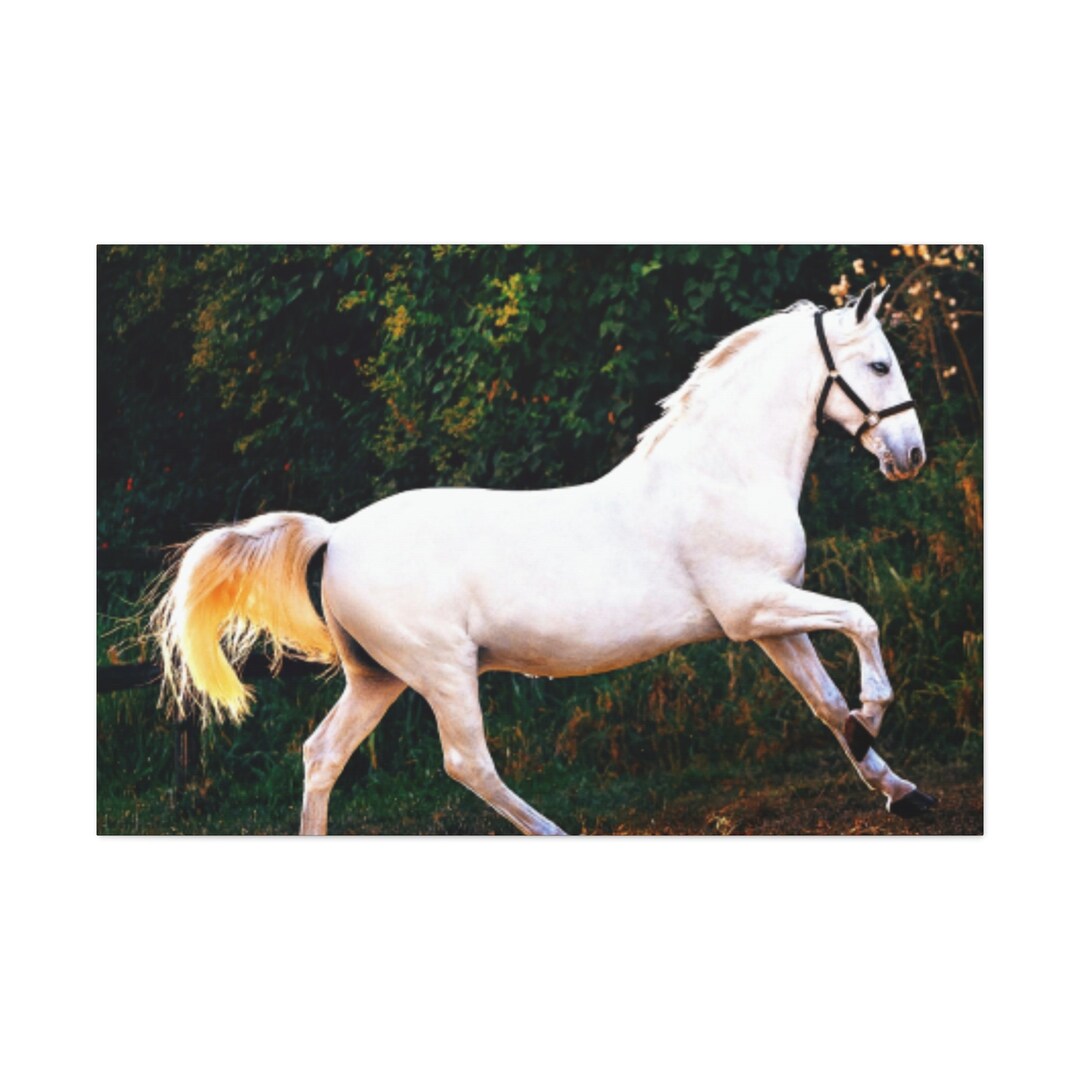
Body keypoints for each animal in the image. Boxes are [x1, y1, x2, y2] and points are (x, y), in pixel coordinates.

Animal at [152, 282, 936, 835]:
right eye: (879, 364)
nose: (911, 456)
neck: (722, 473)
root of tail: (337, 534)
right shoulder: (754, 609)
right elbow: (862, 624)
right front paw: (875, 715)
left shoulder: (773, 621)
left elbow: (825, 702)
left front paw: (899, 788)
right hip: (442, 671)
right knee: (467, 763)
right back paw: (555, 833)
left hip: (377, 677)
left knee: (323, 755)